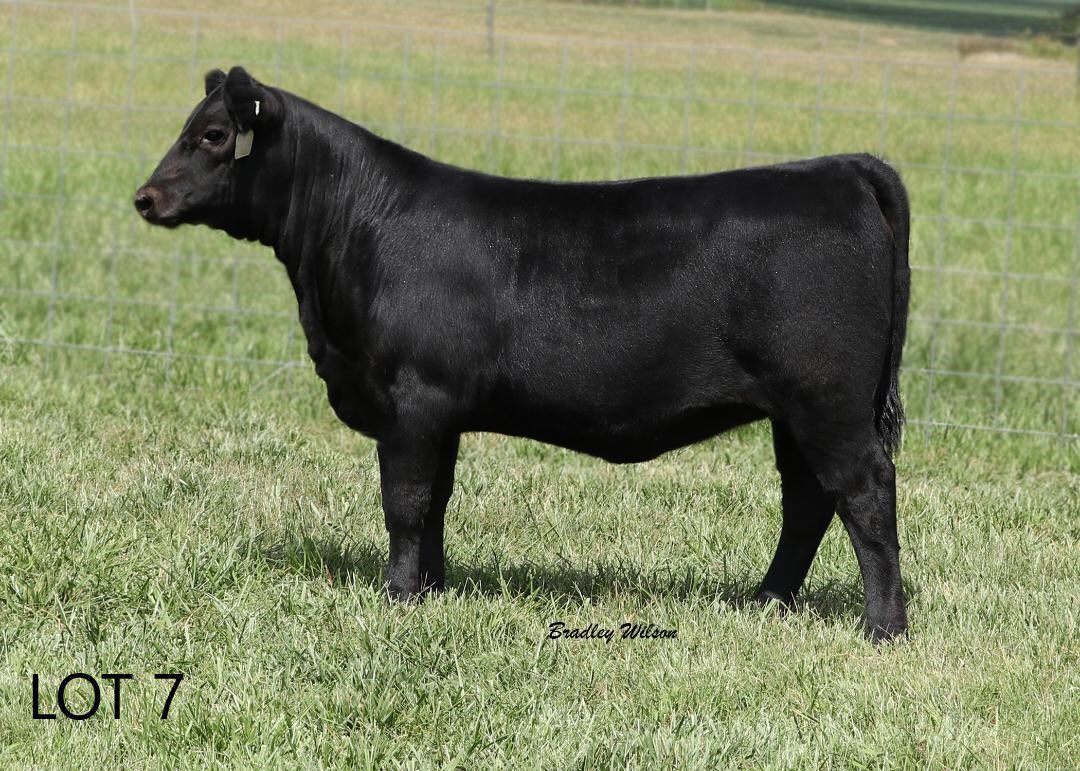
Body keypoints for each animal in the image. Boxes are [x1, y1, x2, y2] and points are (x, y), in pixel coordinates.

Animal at [135, 66, 911, 641]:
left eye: (212, 134)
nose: (145, 197)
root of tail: (839, 169)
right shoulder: (439, 412)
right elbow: (437, 500)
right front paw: (433, 587)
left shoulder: (411, 399)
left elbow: (405, 502)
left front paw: (397, 596)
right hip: (797, 412)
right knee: (807, 500)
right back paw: (765, 601)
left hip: (826, 401)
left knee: (864, 493)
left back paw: (884, 627)